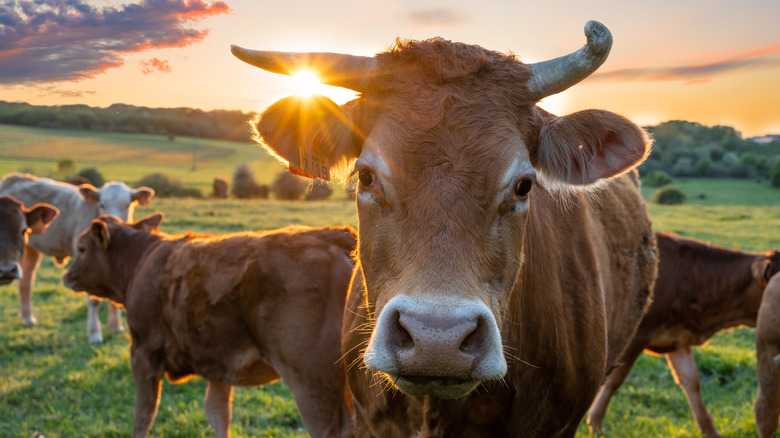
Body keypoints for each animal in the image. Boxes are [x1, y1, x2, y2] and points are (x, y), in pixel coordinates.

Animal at [0, 173, 154, 344]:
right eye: (102, 204)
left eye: (127, 205)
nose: (113, 222)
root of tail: (15, 177)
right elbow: (94, 300)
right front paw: (94, 333)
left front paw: (116, 327)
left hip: (31, 248)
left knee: (26, 282)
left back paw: (27, 318)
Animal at [64, 216, 356, 438]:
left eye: (81, 248)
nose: (67, 275)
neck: (141, 261)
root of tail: (332, 235)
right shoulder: (219, 363)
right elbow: (217, 413)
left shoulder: (143, 352)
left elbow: (143, 414)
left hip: (313, 384)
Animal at [584, 231, 780, 436]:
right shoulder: (637, 336)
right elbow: (615, 379)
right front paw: (596, 422)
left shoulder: (677, 339)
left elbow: (691, 382)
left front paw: (710, 431)